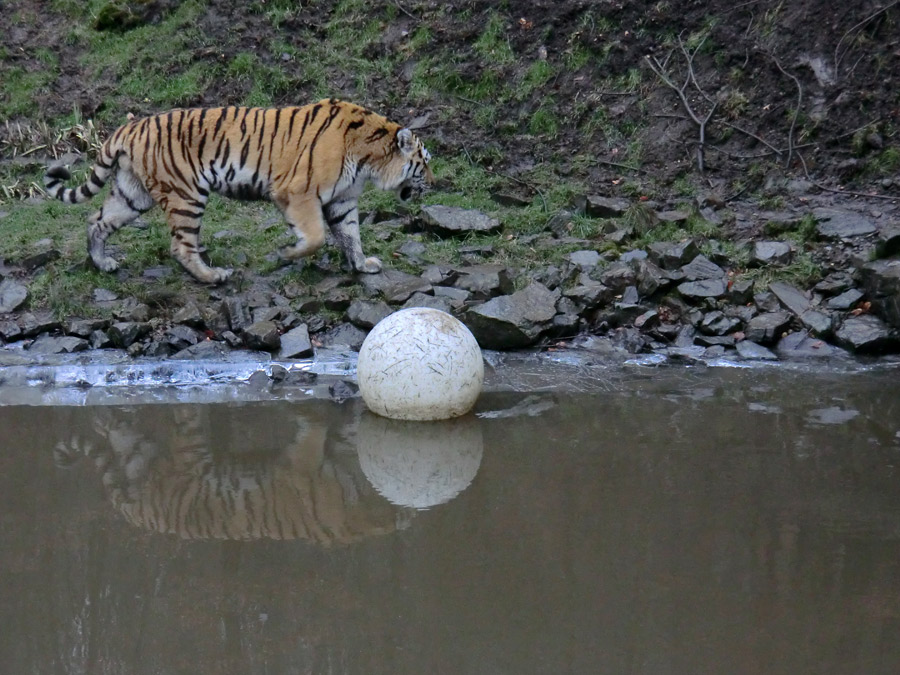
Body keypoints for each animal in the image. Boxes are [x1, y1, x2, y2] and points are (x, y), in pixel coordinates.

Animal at [43, 97, 436, 282]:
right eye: (425, 161)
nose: (433, 184)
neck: (369, 157)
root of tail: (130, 127)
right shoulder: (298, 192)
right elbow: (315, 236)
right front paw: (286, 254)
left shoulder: (342, 200)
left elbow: (351, 235)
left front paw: (361, 264)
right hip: (187, 194)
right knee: (181, 245)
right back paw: (212, 276)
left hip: (132, 194)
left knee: (96, 221)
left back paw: (103, 263)